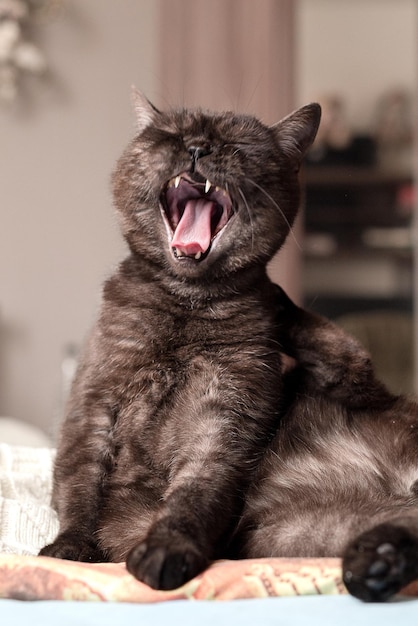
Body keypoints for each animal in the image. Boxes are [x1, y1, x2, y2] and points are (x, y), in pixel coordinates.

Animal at [40, 92, 418, 600]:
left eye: (237, 144)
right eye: (172, 135)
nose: (198, 146)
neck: (186, 308)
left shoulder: (222, 417)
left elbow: (193, 496)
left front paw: (165, 554)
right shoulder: (93, 406)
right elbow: (78, 485)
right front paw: (69, 549)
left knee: (346, 357)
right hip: (305, 528)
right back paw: (377, 564)